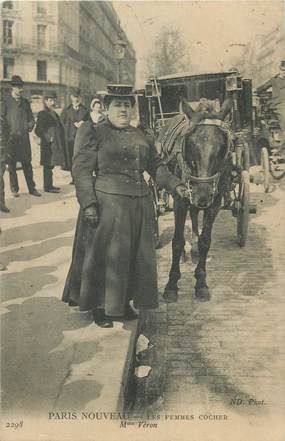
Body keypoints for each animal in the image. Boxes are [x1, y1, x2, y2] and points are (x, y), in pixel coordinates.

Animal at [160, 98, 231, 300]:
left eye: (222, 148)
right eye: (189, 145)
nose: (202, 195)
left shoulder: (215, 202)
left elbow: (206, 240)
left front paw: (201, 282)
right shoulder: (180, 199)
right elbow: (177, 242)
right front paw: (171, 284)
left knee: (194, 214)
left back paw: (194, 249)